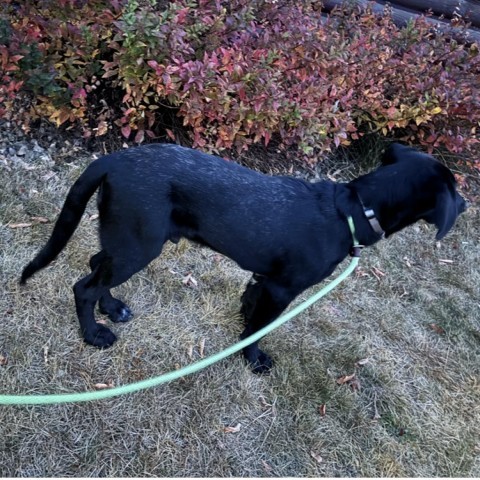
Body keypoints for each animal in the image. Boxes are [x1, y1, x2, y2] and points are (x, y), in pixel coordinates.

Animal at [21, 141, 464, 374]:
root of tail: (111, 160)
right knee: (84, 286)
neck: (353, 210)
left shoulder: (264, 280)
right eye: (454, 189)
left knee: (97, 266)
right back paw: (93, 334)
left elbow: (250, 311)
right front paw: (253, 359)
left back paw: (112, 309)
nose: (465, 204)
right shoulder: (283, 289)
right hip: (138, 245)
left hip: (128, 240)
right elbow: (260, 328)